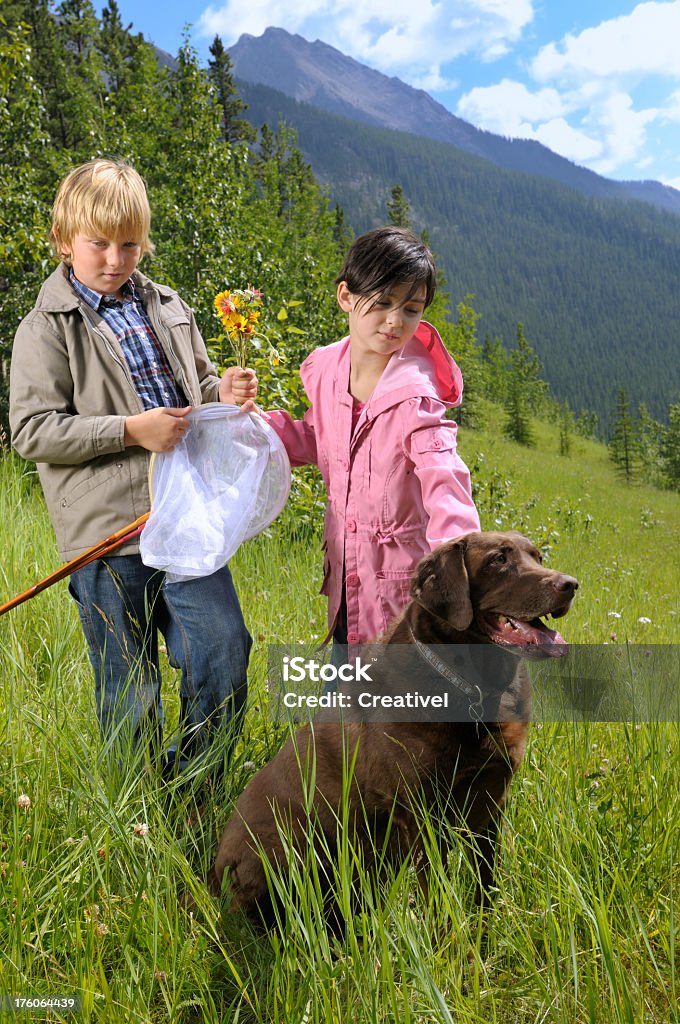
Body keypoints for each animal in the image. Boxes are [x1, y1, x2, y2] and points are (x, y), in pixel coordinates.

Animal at [208, 532, 577, 925]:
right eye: (498, 560)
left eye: (537, 557)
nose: (570, 585)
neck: (475, 687)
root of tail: (213, 875)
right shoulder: (422, 814)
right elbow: (440, 899)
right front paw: (448, 939)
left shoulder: (492, 802)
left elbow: (485, 885)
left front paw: (484, 932)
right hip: (291, 846)